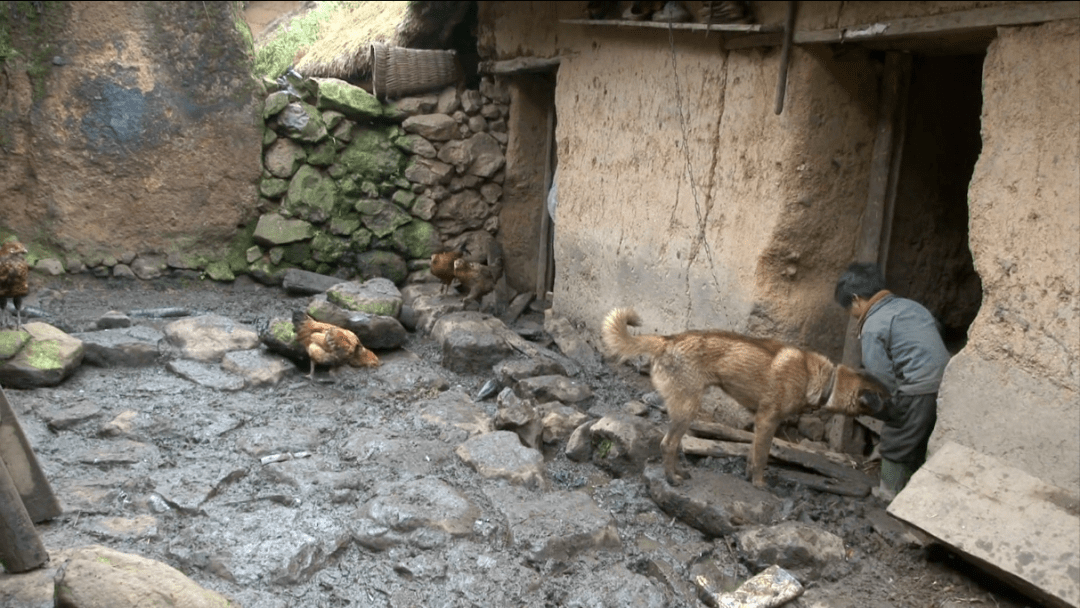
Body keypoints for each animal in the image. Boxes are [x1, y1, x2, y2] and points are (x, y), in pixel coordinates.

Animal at [600, 306, 885, 488]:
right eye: (890, 398)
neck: (825, 379)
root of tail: (667, 341)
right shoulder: (768, 421)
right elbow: (762, 457)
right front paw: (759, 484)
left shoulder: (759, 423)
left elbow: (752, 452)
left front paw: (748, 475)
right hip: (687, 409)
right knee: (667, 444)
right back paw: (672, 479)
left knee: (674, 444)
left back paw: (680, 472)